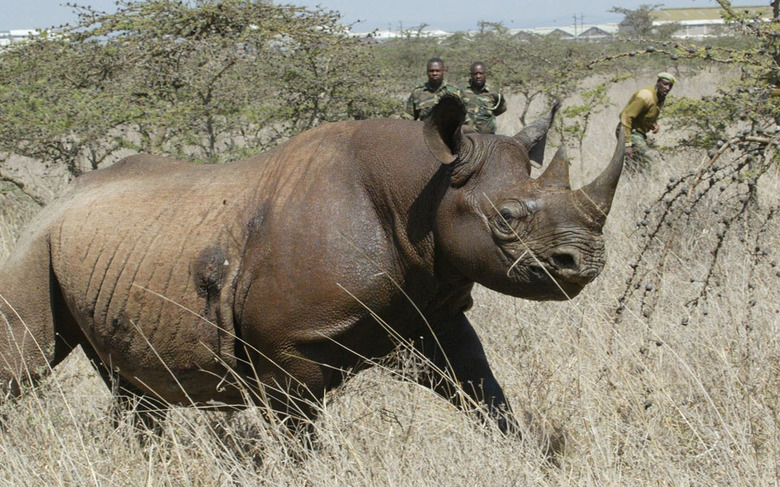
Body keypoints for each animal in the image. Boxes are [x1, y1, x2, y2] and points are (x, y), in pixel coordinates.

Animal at [0, 96, 623, 437]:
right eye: (508, 218)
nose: (587, 260)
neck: (422, 186)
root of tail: (61, 196)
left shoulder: (431, 311)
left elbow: (484, 394)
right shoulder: (285, 350)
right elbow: (299, 441)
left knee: (133, 392)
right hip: (35, 243)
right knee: (26, 362)